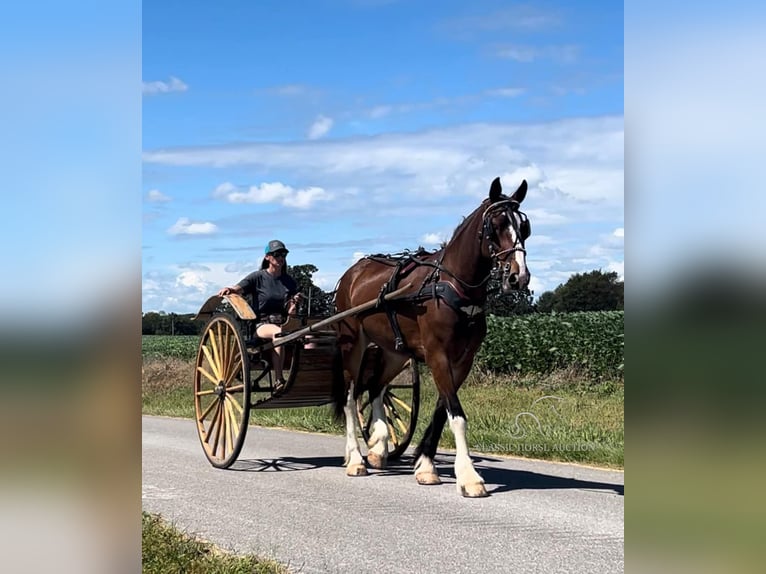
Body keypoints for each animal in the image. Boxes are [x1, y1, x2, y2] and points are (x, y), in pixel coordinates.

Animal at [332, 179, 532, 500]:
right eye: (496, 225)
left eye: (524, 227)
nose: (518, 276)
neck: (452, 286)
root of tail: (350, 275)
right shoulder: (438, 354)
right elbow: (456, 415)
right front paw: (469, 477)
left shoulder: (462, 360)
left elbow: (442, 411)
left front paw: (425, 465)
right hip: (352, 343)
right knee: (352, 398)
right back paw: (355, 459)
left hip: (394, 351)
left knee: (376, 388)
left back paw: (379, 444)